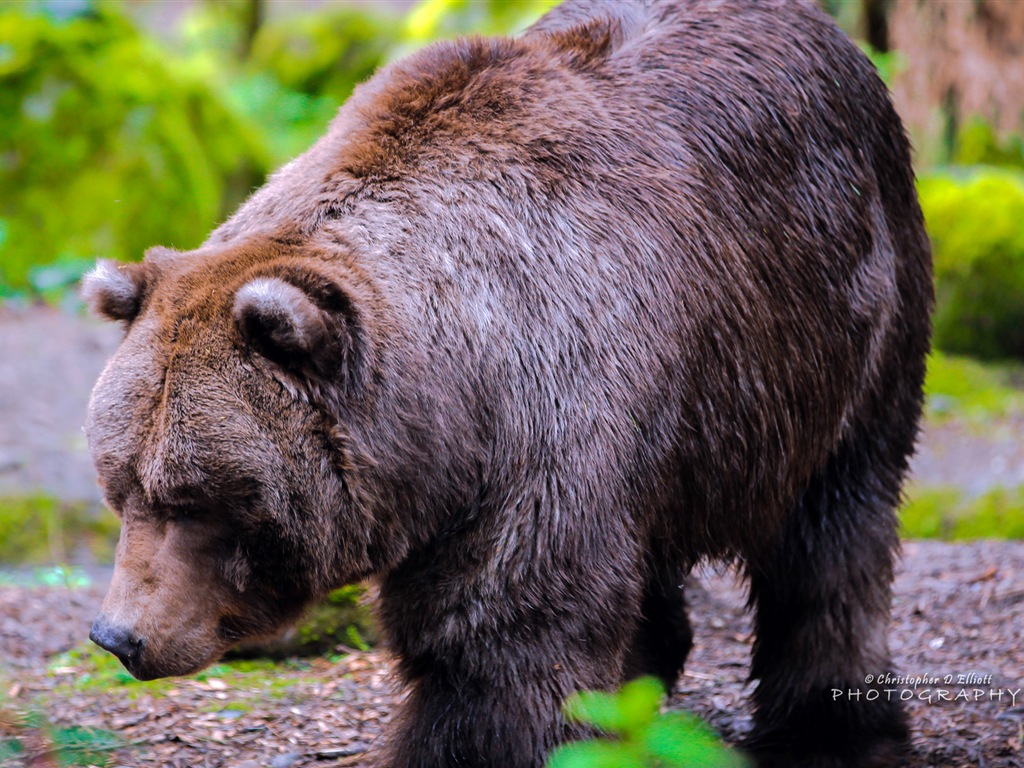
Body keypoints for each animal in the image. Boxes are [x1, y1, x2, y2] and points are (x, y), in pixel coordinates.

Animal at [81, 1, 929, 768]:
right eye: (121, 485)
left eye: (196, 496)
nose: (120, 636)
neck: (449, 410)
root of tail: (824, 27)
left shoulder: (549, 416)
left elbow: (500, 632)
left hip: (841, 315)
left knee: (835, 526)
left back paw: (831, 730)